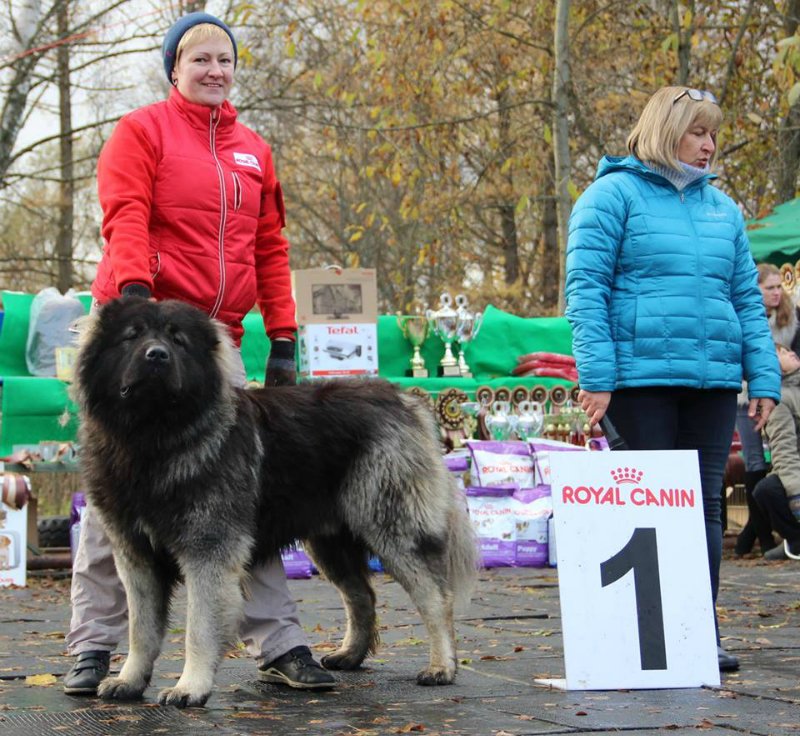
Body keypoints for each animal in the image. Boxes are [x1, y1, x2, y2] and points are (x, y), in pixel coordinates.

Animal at [73, 298, 476, 708]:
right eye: (132, 336)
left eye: (178, 340)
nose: (157, 355)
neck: (152, 438)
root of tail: (405, 401)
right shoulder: (136, 555)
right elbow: (140, 630)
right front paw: (129, 680)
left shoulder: (208, 553)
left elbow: (198, 628)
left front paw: (190, 687)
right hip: (330, 544)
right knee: (362, 596)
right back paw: (350, 655)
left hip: (393, 527)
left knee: (435, 597)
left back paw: (441, 667)